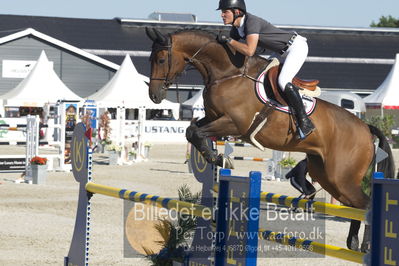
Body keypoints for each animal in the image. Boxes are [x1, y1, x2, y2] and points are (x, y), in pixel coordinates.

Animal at [145, 27, 396, 251]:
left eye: (161, 59)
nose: (155, 96)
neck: (227, 73)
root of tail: (365, 128)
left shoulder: (235, 124)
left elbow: (196, 132)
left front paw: (216, 158)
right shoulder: (214, 118)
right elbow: (192, 130)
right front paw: (215, 156)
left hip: (341, 177)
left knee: (366, 205)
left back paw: (365, 245)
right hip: (328, 175)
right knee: (355, 206)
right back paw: (353, 243)